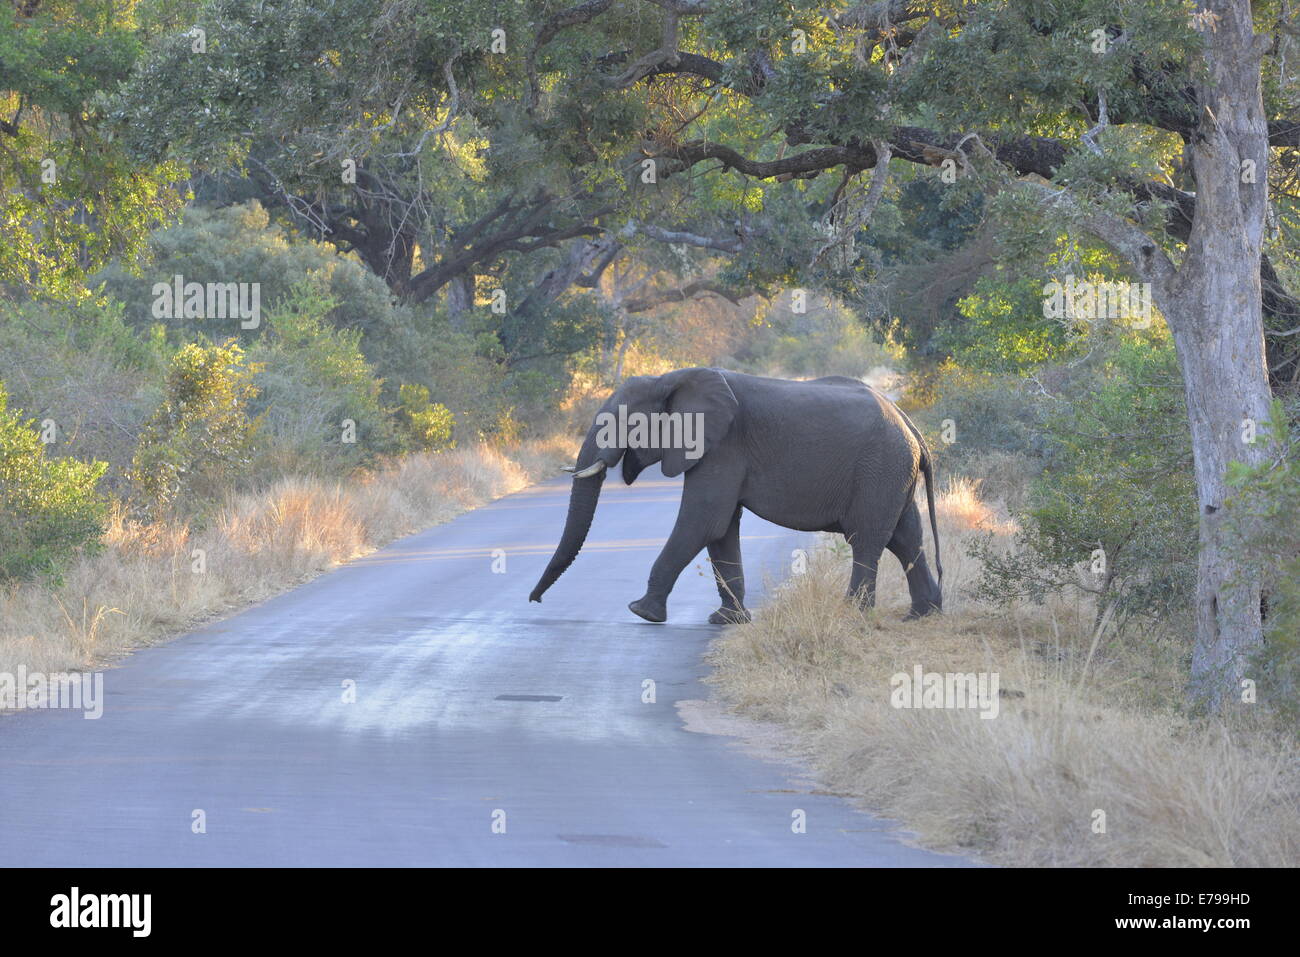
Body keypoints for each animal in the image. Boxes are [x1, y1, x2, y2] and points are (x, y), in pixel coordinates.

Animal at [527, 364, 946, 621]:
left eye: (627, 423)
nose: (535, 600)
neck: (671, 378)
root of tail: (910, 425)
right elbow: (721, 529)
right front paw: (726, 620)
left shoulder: (724, 446)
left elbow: (702, 522)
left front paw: (640, 611)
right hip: (893, 472)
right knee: (906, 537)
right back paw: (923, 615)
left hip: (880, 468)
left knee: (868, 538)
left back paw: (853, 613)